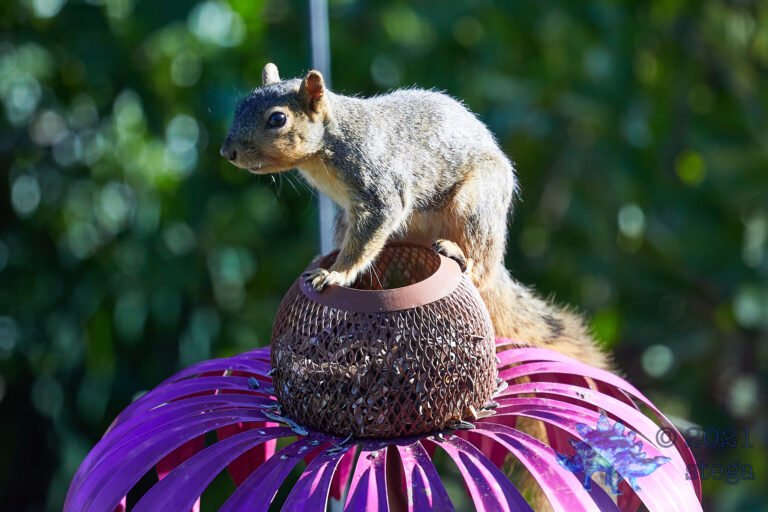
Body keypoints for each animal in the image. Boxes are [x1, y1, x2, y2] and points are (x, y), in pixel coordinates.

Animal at [221, 63, 611, 370]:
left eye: (277, 119)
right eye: (239, 105)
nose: (227, 152)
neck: (326, 147)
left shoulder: (378, 187)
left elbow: (373, 228)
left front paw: (336, 274)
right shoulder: (349, 208)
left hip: (475, 205)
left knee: (481, 266)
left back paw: (461, 257)